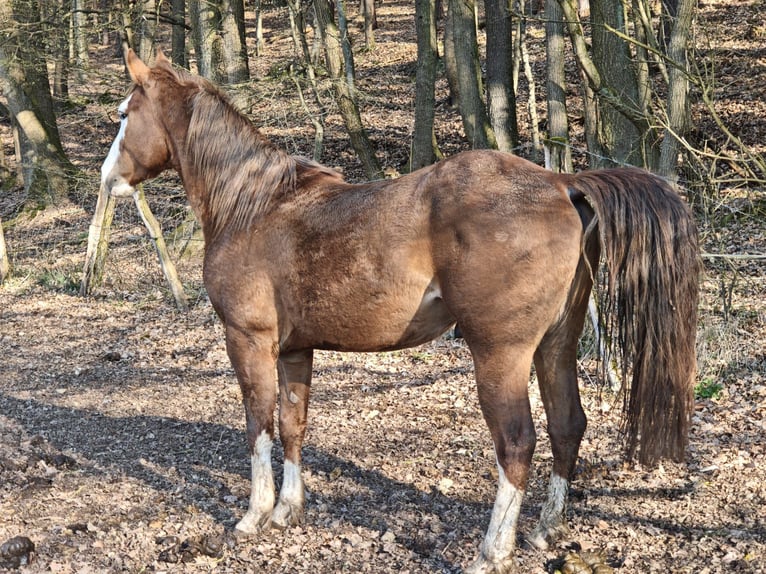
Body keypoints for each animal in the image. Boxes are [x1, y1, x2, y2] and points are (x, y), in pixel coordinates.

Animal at [100, 50, 699, 573]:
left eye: (125, 115)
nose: (108, 180)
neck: (255, 206)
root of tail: (561, 182)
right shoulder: (295, 349)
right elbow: (293, 424)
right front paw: (289, 509)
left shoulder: (248, 340)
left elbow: (257, 423)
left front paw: (254, 515)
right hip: (556, 344)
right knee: (567, 424)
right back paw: (544, 530)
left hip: (500, 354)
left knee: (517, 443)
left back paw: (493, 551)